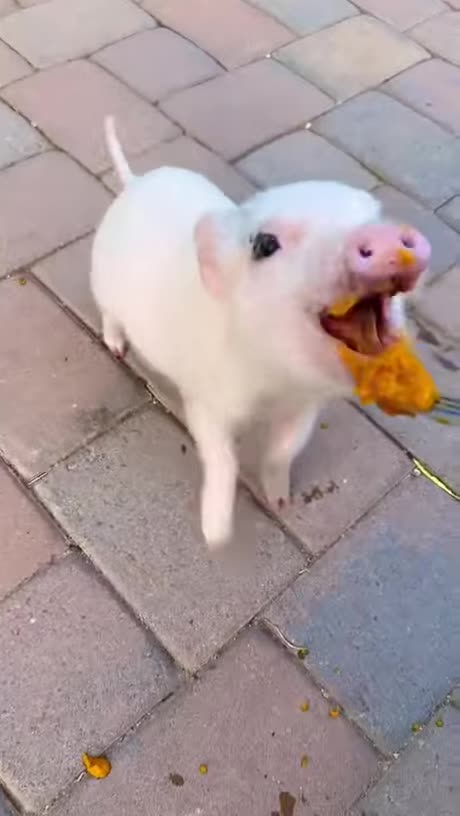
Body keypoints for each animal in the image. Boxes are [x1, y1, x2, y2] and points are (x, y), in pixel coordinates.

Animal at [91, 117, 431, 550]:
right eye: (265, 244)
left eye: (374, 214)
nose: (387, 236)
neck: (274, 384)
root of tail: (134, 184)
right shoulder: (207, 400)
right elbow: (221, 456)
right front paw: (216, 539)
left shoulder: (305, 405)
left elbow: (284, 450)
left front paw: (282, 504)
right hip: (102, 283)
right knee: (108, 316)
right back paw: (117, 348)